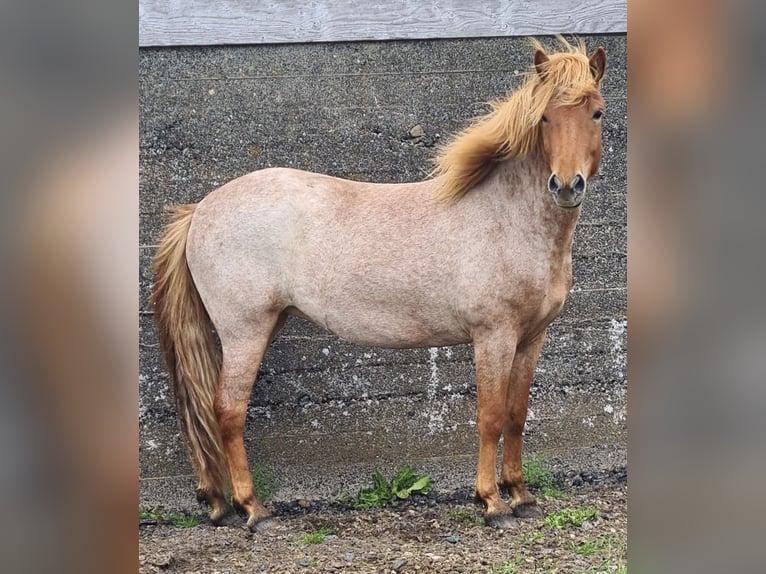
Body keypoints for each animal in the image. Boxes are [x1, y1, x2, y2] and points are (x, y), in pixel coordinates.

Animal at [151, 37, 607, 531]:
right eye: (544, 118)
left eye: (597, 113)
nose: (566, 185)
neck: (506, 218)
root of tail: (200, 209)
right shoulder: (493, 336)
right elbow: (490, 416)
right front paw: (492, 503)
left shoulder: (531, 337)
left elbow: (517, 415)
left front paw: (522, 496)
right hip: (244, 331)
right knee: (228, 412)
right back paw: (254, 509)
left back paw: (219, 503)